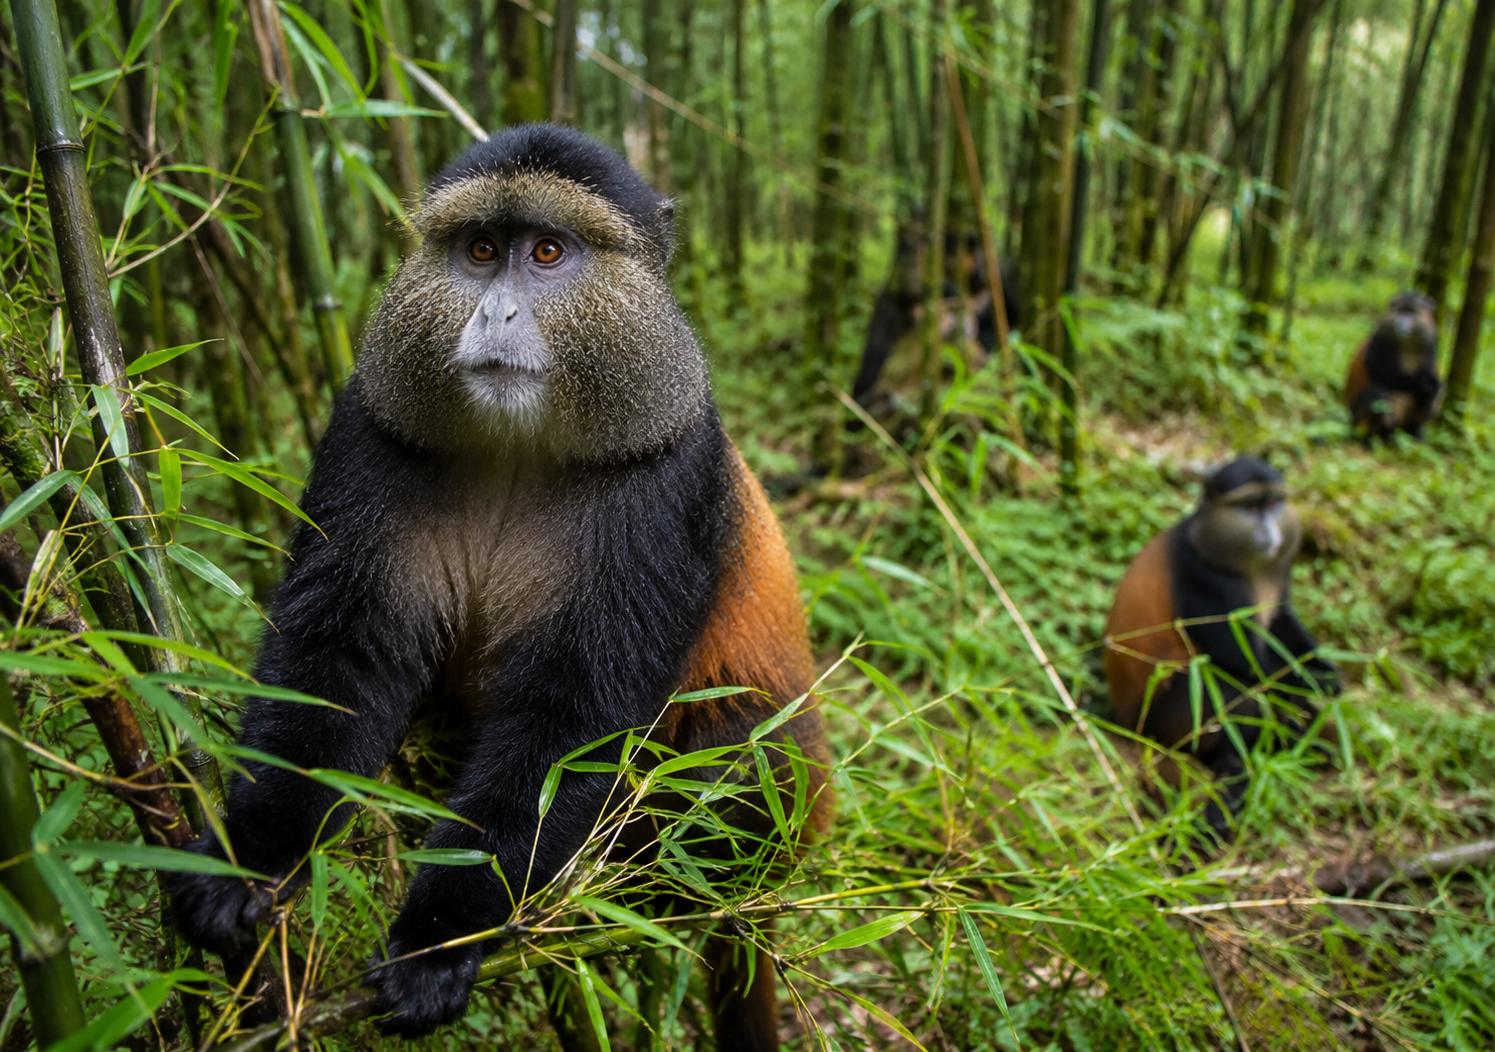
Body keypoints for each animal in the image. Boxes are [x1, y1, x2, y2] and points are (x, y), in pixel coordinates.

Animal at [165, 124, 830, 1046]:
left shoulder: (668, 478)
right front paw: (251, 857)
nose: (497, 313)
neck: (520, 447)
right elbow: (339, 657)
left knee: (740, 759)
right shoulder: (369, 428)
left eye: (547, 252)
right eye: (480, 251)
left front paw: (438, 940)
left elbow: (571, 720)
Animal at [1103, 458, 1338, 844]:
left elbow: (1281, 621)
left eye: (1273, 503)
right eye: (1250, 507)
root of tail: (1126, 724)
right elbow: (1240, 658)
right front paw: (1315, 684)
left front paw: (1325, 672)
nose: (1270, 533)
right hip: (1169, 716)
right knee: (1234, 697)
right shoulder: (1204, 580)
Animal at [1344, 291, 1443, 440]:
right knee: (1376, 393)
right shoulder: (1381, 341)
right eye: (1401, 311)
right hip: (1360, 417)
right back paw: (1377, 436)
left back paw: (1414, 431)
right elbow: (1392, 378)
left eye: (1411, 312)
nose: (1401, 322)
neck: (1408, 344)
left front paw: (1429, 386)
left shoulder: (1429, 345)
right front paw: (1424, 384)